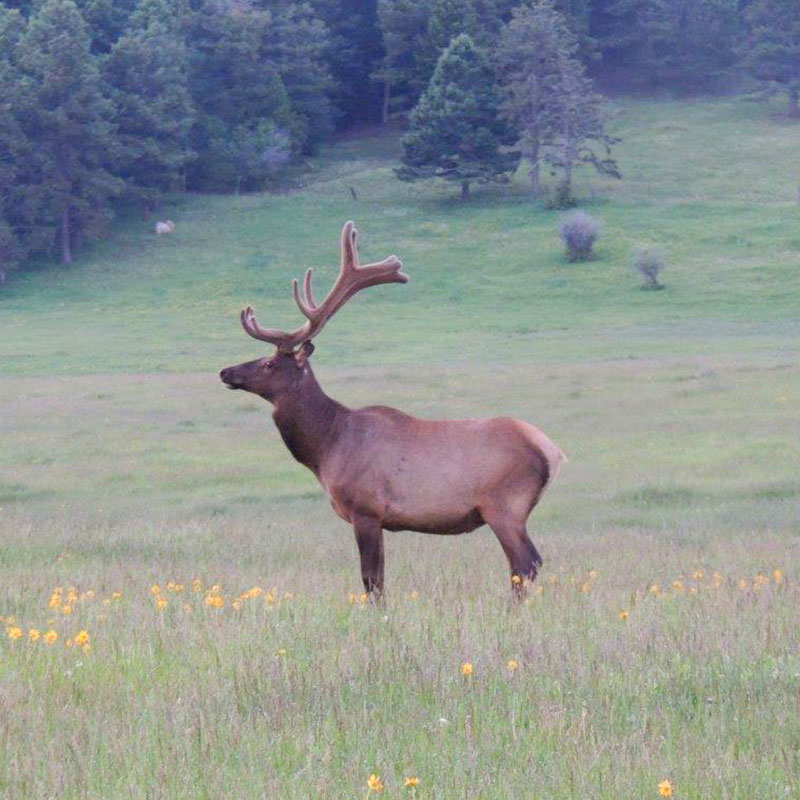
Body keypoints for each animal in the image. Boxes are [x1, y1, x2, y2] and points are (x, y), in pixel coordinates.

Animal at [220, 221, 565, 599]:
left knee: (526, 563)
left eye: (268, 364)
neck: (327, 447)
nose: (225, 372)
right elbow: (379, 579)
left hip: (504, 506)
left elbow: (372, 581)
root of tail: (552, 451)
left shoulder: (366, 509)